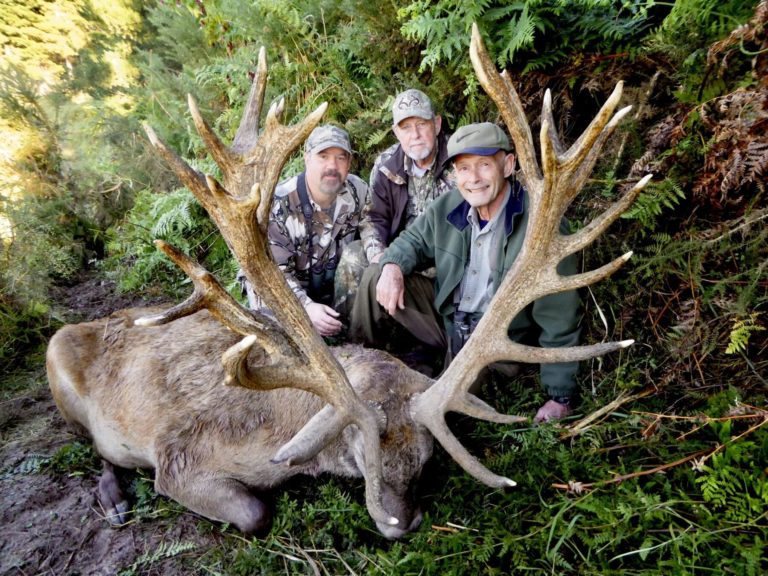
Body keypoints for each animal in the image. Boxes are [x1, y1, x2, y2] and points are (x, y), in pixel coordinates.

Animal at [46, 25, 650, 539]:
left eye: (427, 458)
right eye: (361, 450)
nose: (401, 523)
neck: (278, 432)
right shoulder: (179, 457)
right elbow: (254, 512)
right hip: (58, 365)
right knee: (93, 444)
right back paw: (113, 499)